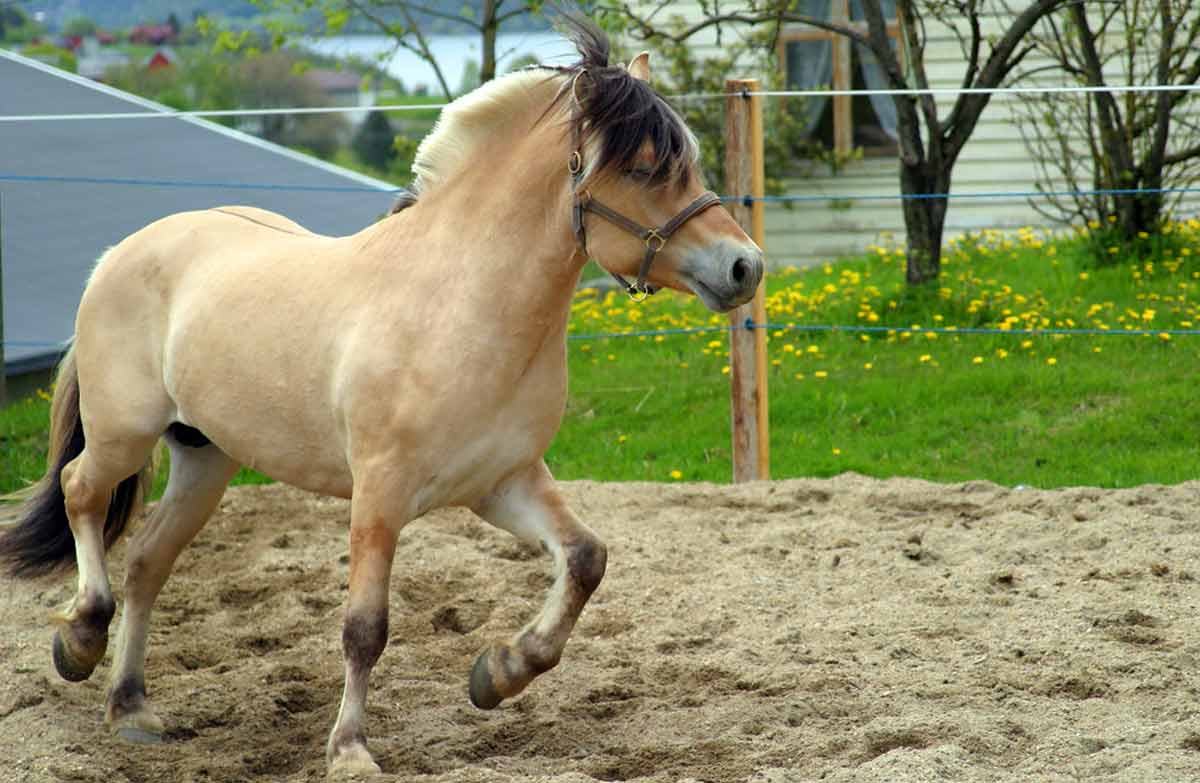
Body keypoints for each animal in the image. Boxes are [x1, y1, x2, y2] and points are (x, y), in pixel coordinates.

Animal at [0, 17, 763, 775]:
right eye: (642, 168)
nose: (745, 267)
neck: (459, 306)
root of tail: (120, 253)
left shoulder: (501, 482)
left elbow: (585, 560)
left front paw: (498, 674)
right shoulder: (379, 495)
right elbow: (365, 627)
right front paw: (350, 750)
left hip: (205, 459)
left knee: (147, 562)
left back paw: (130, 707)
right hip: (123, 435)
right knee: (80, 491)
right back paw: (79, 641)